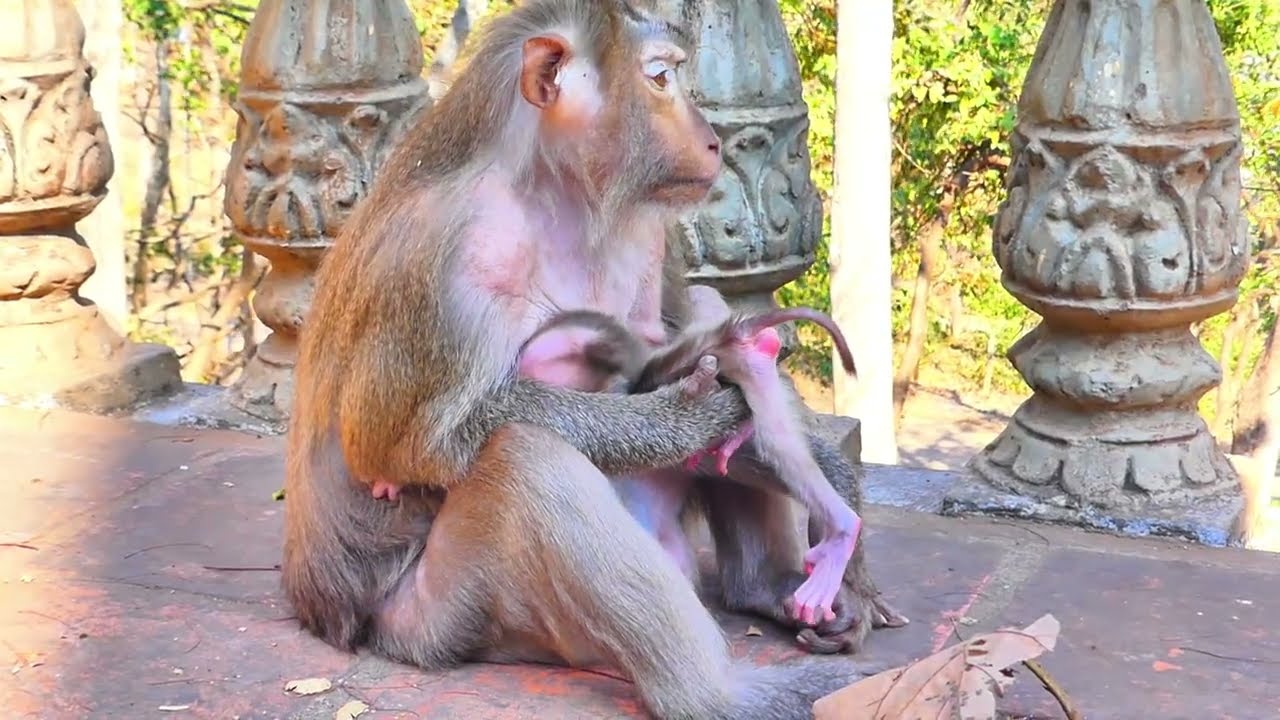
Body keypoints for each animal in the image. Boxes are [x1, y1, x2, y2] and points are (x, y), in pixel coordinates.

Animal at [281, 1, 881, 717]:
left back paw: (771, 583)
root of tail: (331, 614)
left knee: (712, 320)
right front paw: (678, 422)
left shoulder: (651, 228)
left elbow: (697, 343)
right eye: (660, 78)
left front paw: (836, 498)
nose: (712, 141)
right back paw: (717, 693)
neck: (555, 192)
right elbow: (400, 448)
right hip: (443, 617)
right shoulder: (441, 257)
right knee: (526, 460)